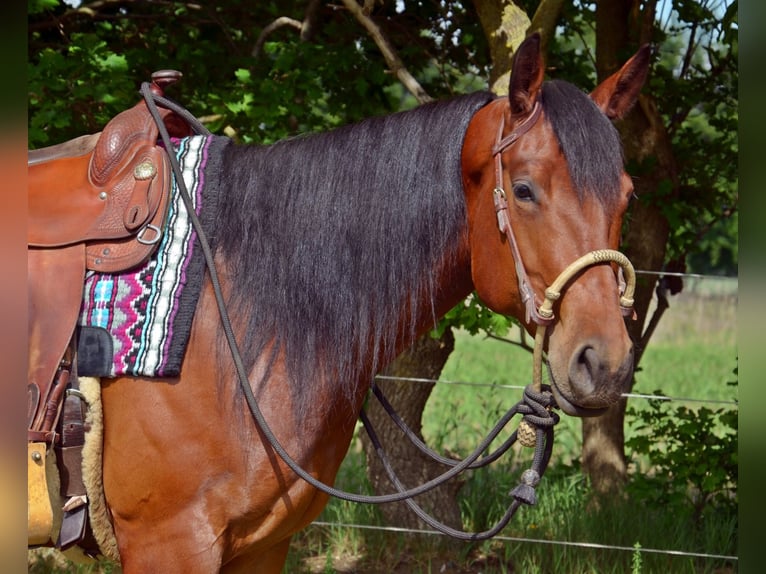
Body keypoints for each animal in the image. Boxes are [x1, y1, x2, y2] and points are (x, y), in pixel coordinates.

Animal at [42, 33, 650, 571]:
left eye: (627, 196)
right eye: (523, 190)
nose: (605, 363)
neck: (227, 321)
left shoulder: (263, 544)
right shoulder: (170, 543)